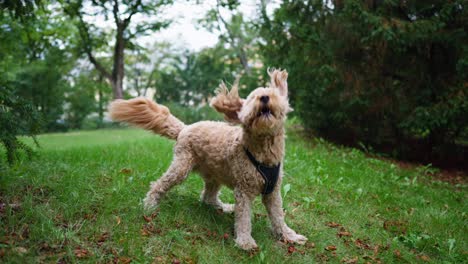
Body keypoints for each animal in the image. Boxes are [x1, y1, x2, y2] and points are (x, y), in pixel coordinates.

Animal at [109, 68, 308, 250]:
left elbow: (278, 216)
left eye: (273, 94)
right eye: (253, 98)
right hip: (181, 168)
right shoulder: (243, 191)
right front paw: (245, 241)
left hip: (215, 174)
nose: (265, 98)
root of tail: (184, 128)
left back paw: (223, 207)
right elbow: (244, 218)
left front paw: (289, 235)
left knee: (207, 197)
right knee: (159, 184)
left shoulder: (273, 193)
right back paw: (150, 205)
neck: (263, 152)